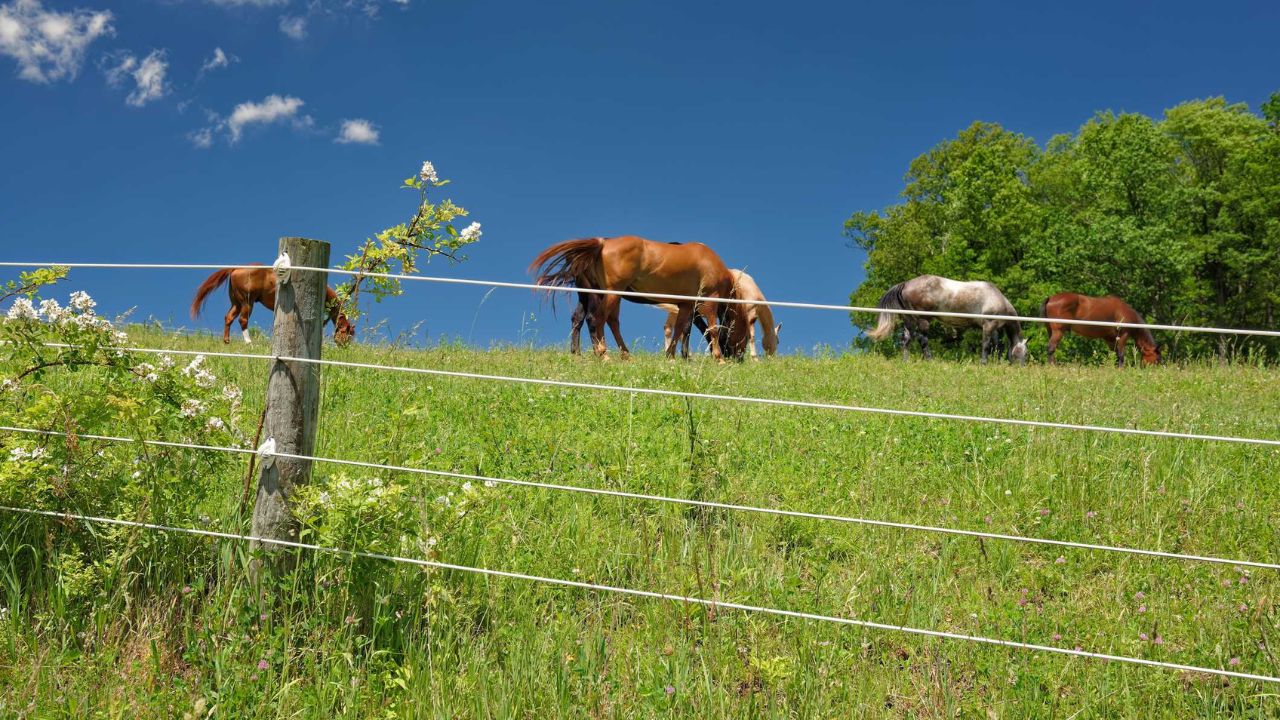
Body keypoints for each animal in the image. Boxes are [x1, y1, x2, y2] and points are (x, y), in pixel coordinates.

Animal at [189, 263, 353, 345]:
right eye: (347, 333)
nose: (345, 348)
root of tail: (236, 268)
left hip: (237, 302)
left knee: (228, 318)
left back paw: (226, 340)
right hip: (247, 302)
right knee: (243, 320)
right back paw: (249, 342)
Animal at [529, 234, 747, 358]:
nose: (737, 358)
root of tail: (601, 243)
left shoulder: (685, 305)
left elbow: (680, 330)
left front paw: (672, 356)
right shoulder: (708, 301)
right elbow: (712, 328)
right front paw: (717, 357)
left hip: (598, 296)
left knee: (600, 321)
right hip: (609, 295)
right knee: (597, 319)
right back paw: (603, 354)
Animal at [860, 271, 1029, 361]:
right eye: (1024, 353)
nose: (1020, 367)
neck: (996, 297)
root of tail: (906, 284)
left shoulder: (994, 328)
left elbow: (997, 346)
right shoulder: (988, 325)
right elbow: (987, 345)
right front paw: (984, 362)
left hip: (909, 321)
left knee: (906, 340)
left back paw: (905, 361)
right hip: (923, 320)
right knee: (923, 340)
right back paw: (930, 360)